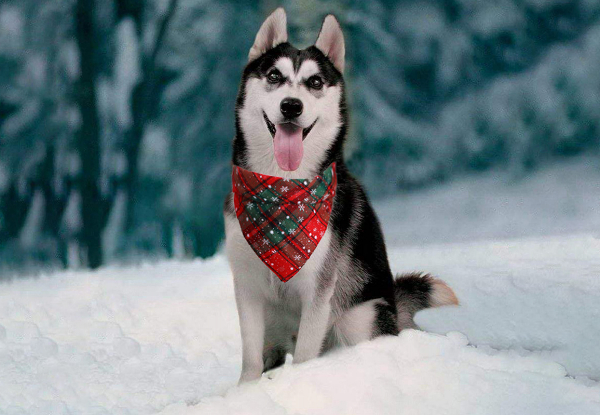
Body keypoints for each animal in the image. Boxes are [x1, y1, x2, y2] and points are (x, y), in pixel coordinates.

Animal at [223, 8, 458, 386]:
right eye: (274, 76)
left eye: (316, 82)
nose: (291, 106)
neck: (283, 187)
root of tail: (395, 308)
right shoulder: (247, 287)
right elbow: (250, 359)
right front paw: (245, 392)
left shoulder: (319, 290)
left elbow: (307, 354)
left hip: (357, 316)